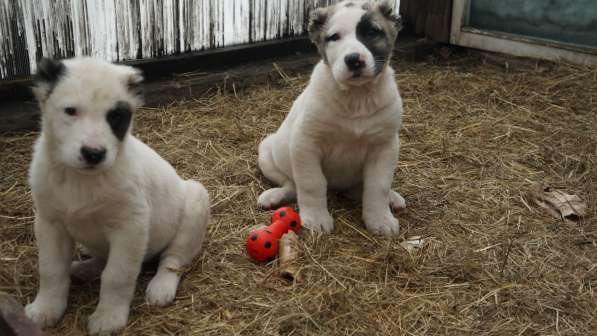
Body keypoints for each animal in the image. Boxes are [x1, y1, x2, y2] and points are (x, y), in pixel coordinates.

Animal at [26, 57, 212, 334]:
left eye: (115, 116)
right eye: (70, 111)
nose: (94, 153)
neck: (82, 179)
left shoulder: (130, 227)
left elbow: (116, 275)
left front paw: (108, 318)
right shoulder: (50, 223)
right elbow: (51, 269)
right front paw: (45, 309)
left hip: (195, 203)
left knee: (173, 259)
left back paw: (161, 287)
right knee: (100, 260)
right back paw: (84, 268)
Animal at [256, 0, 406, 236]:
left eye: (372, 32)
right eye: (334, 37)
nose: (354, 60)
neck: (356, 98)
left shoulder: (385, 147)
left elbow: (378, 186)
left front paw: (380, 218)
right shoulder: (305, 143)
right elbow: (312, 183)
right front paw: (316, 218)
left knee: (362, 189)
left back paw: (393, 198)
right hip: (267, 152)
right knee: (291, 184)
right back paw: (274, 195)